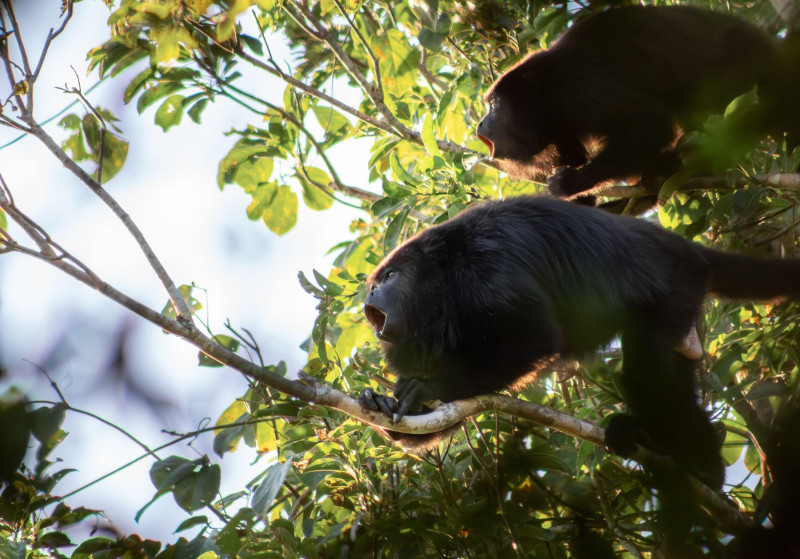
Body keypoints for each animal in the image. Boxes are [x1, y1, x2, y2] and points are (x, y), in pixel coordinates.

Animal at [359, 196, 800, 491]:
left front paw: (425, 388)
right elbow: (446, 415)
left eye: (390, 277)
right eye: (376, 281)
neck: (447, 281)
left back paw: (702, 465)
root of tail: (684, 246)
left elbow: (534, 335)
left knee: (647, 361)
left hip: (678, 280)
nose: (370, 296)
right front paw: (383, 402)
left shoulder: (488, 265)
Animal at [476, 5, 800, 199]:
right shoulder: (558, 127)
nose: (480, 124)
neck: (546, 91)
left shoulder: (579, 85)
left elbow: (649, 125)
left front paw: (571, 183)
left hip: (742, 65)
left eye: (494, 106)